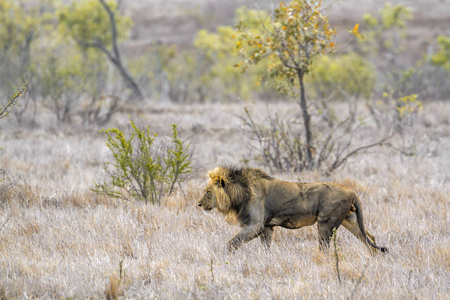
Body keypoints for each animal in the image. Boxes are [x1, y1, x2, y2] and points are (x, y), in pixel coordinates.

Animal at [197, 166, 386, 253]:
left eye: (207, 191)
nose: (198, 204)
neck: (240, 194)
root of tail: (352, 191)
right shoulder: (267, 226)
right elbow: (265, 247)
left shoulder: (255, 225)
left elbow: (233, 243)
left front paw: (224, 255)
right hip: (351, 220)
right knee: (369, 238)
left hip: (326, 223)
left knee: (324, 247)